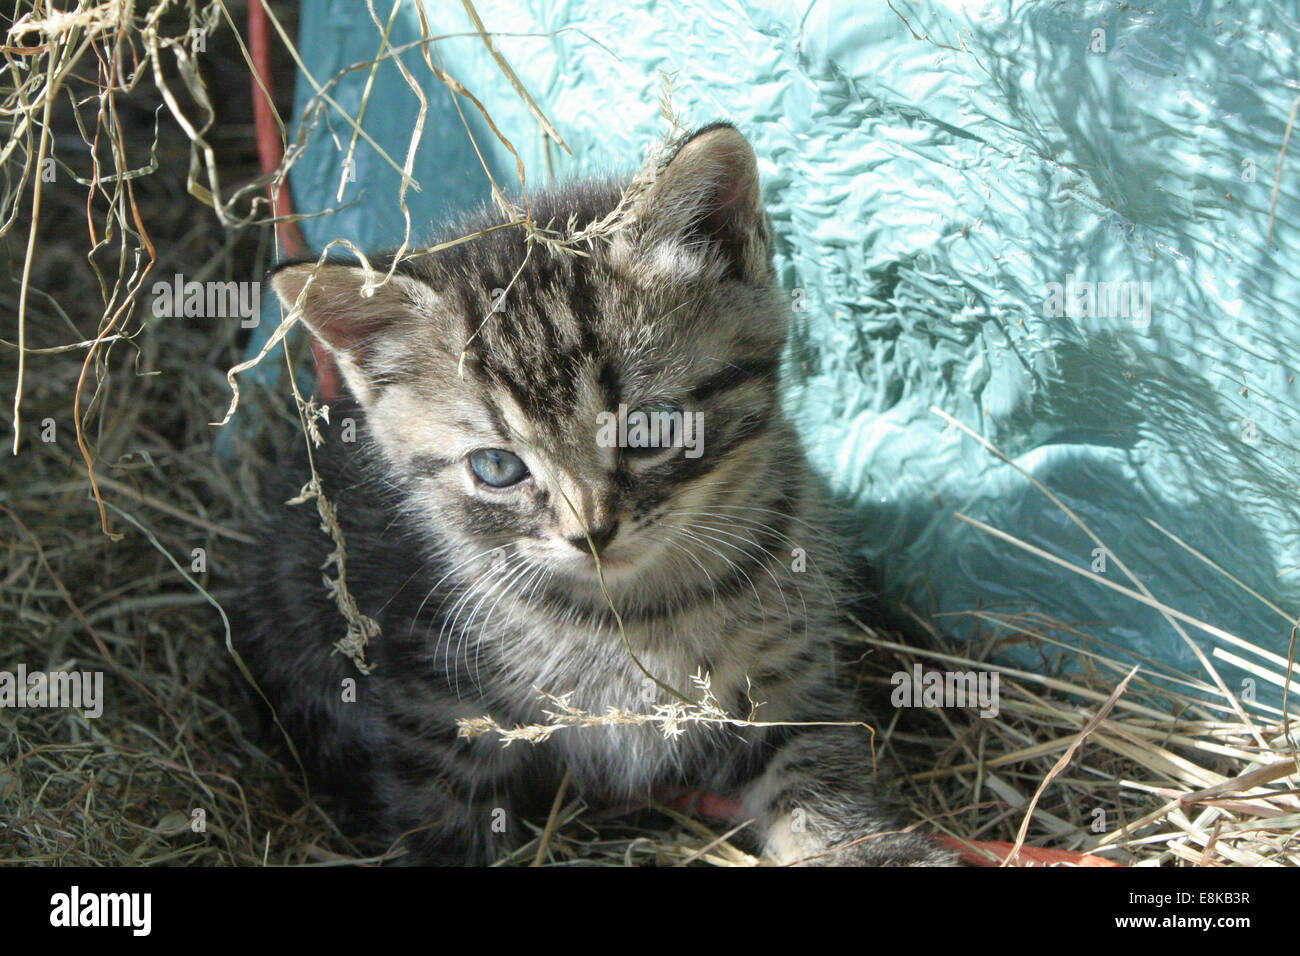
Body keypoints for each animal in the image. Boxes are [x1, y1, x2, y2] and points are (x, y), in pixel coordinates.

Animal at [233, 121, 951, 868]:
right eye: (497, 467)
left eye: (647, 427)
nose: (592, 531)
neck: (634, 614)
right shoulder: (432, 704)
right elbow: (440, 812)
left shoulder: (788, 682)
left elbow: (817, 777)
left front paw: (869, 848)